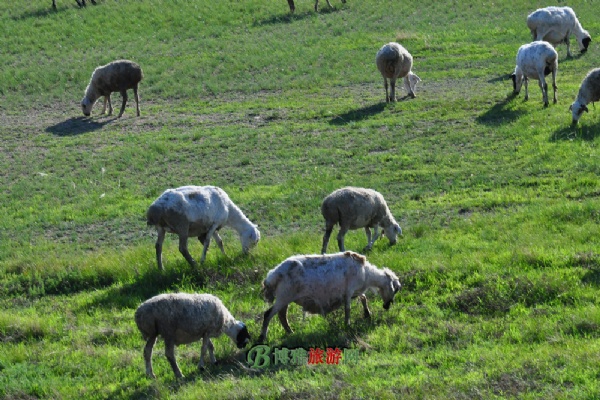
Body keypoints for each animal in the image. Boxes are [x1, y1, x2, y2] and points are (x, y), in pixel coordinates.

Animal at [255, 252, 400, 342]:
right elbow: (348, 309)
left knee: (282, 315)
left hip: (285, 298)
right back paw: (262, 337)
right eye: (396, 289)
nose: (387, 306)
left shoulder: (355, 291)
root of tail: (272, 275)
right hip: (284, 297)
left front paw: (367, 314)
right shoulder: (349, 291)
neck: (367, 274)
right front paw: (347, 324)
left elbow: (363, 298)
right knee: (268, 314)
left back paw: (290, 332)